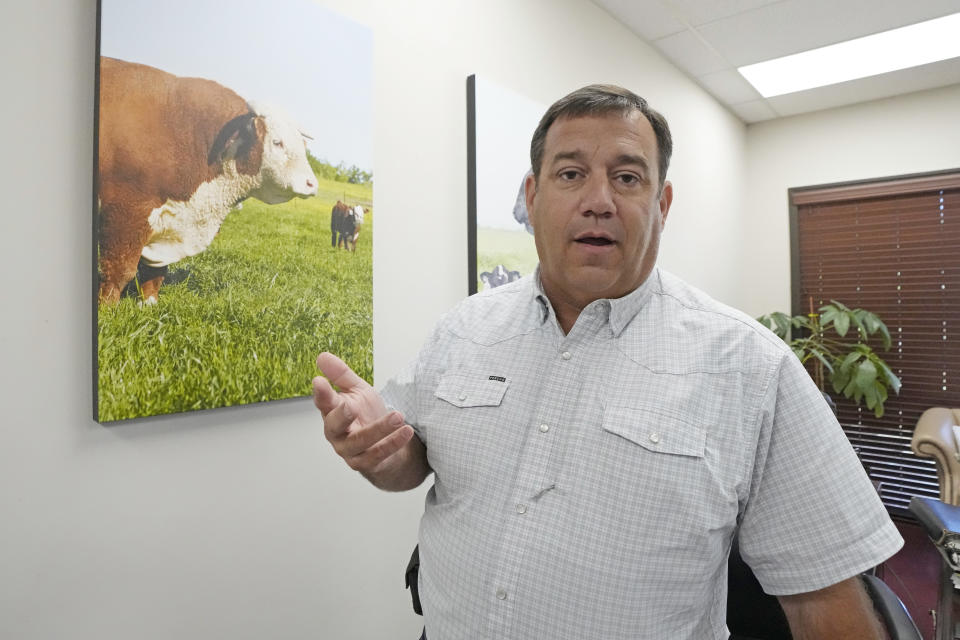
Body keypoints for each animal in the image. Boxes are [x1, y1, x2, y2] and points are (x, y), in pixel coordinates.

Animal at [97, 56, 316, 304]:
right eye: (277, 142)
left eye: (302, 145)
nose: (312, 183)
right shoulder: (125, 213)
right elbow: (119, 271)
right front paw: (106, 307)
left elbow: (155, 274)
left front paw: (149, 304)